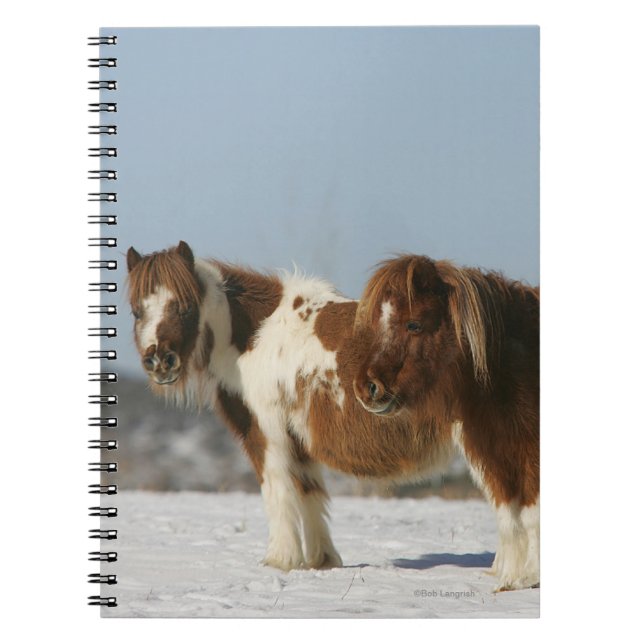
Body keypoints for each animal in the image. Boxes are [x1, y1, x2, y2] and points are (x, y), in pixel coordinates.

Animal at [126, 242, 456, 572]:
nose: (160, 361)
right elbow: (308, 491)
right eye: (137, 311)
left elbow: (277, 488)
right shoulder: (297, 438)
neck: (256, 336)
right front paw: (321, 560)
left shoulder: (267, 432)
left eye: (185, 306)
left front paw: (280, 559)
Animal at [352, 254, 540, 591]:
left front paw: (528, 577)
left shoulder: (528, 452)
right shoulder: (496, 454)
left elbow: (530, 512)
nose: (366, 388)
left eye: (414, 324)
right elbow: (509, 512)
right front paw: (510, 576)